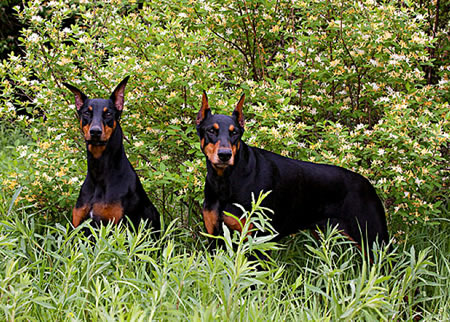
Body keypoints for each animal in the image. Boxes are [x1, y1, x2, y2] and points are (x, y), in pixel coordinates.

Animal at [63, 78, 160, 234]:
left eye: (108, 113)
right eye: (87, 113)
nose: (95, 132)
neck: (99, 173)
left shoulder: (115, 228)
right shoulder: (78, 228)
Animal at [195, 92, 388, 253]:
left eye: (234, 133)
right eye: (211, 130)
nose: (225, 155)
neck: (225, 181)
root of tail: (368, 184)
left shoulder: (256, 240)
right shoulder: (214, 238)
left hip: (373, 240)